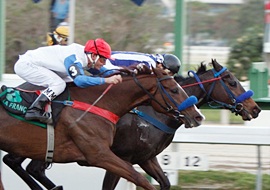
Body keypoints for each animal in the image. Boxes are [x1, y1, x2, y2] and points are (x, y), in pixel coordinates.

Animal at [2, 59, 262, 190]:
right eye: (232, 81)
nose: (256, 108)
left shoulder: (146, 158)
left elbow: (165, 182)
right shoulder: (119, 157)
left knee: (16, 163)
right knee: (28, 166)